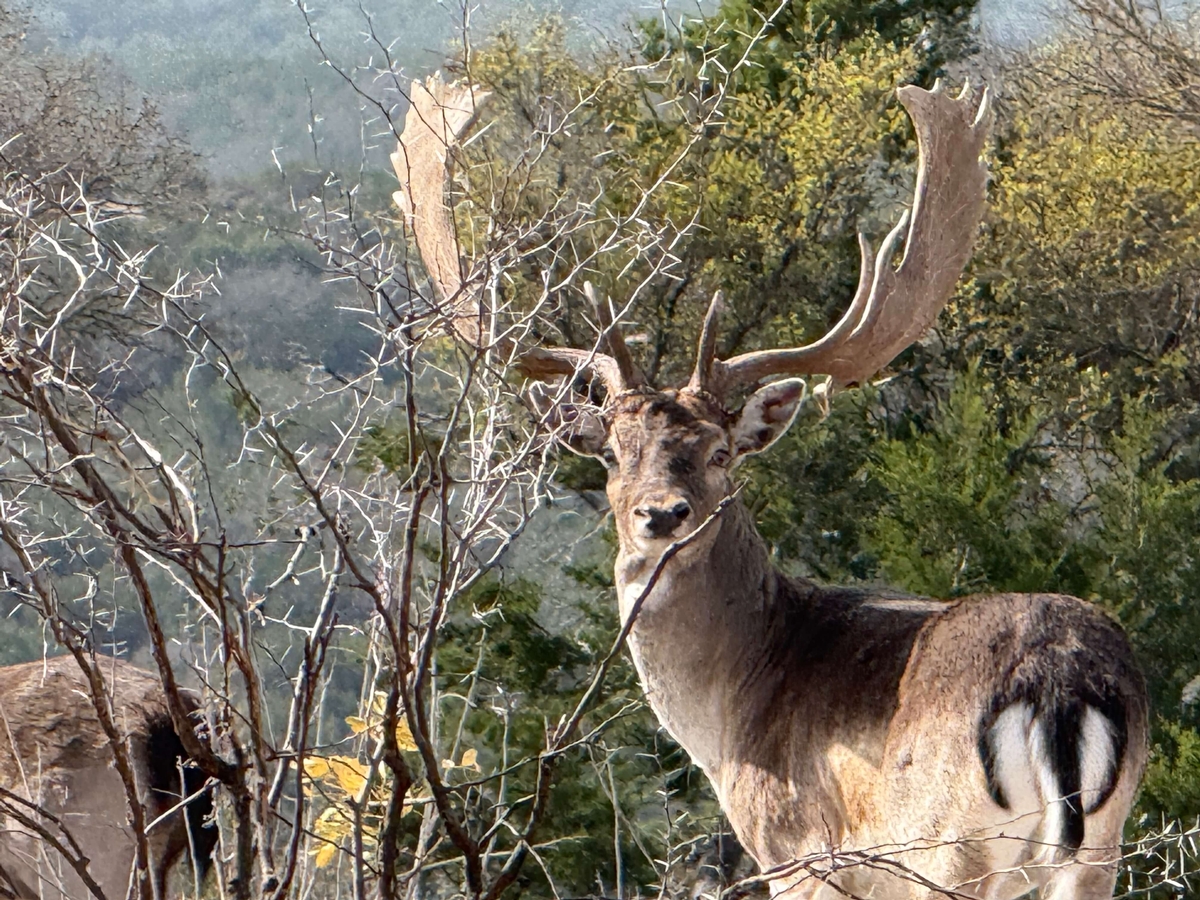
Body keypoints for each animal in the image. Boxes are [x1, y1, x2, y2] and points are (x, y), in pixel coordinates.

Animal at [393, 74, 1149, 898]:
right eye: (613, 453)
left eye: (721, 452)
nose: (663, 515)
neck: (730, 717)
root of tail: (1059, 687)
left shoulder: (794, 846)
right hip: (1095, 848)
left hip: (946, 847)